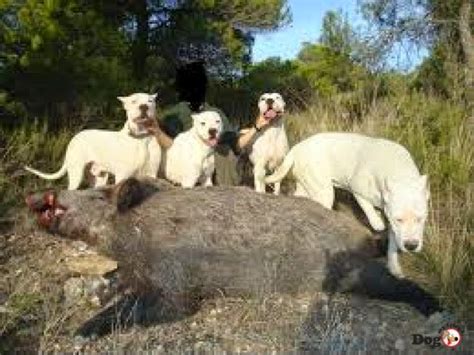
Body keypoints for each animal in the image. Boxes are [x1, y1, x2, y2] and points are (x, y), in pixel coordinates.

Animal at [24, 93, 161, 191]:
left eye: (150, 101)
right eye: (134, 101)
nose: (144, 106)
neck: (142, 138)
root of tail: (75, 137)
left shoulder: (151, 174)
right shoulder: (123, 176)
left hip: (99, 178)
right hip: (76, 174)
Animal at [264, 132, 432, 280]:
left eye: (421, 219)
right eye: (399, 219)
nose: (411, 246)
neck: (399, 173)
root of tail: (296, 148)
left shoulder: (393, 222)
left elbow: (392, 245)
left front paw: (394, 268)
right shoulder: (357, 189)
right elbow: (369, 210)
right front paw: (377, 221)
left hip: (307, 186)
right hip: (323, 191)